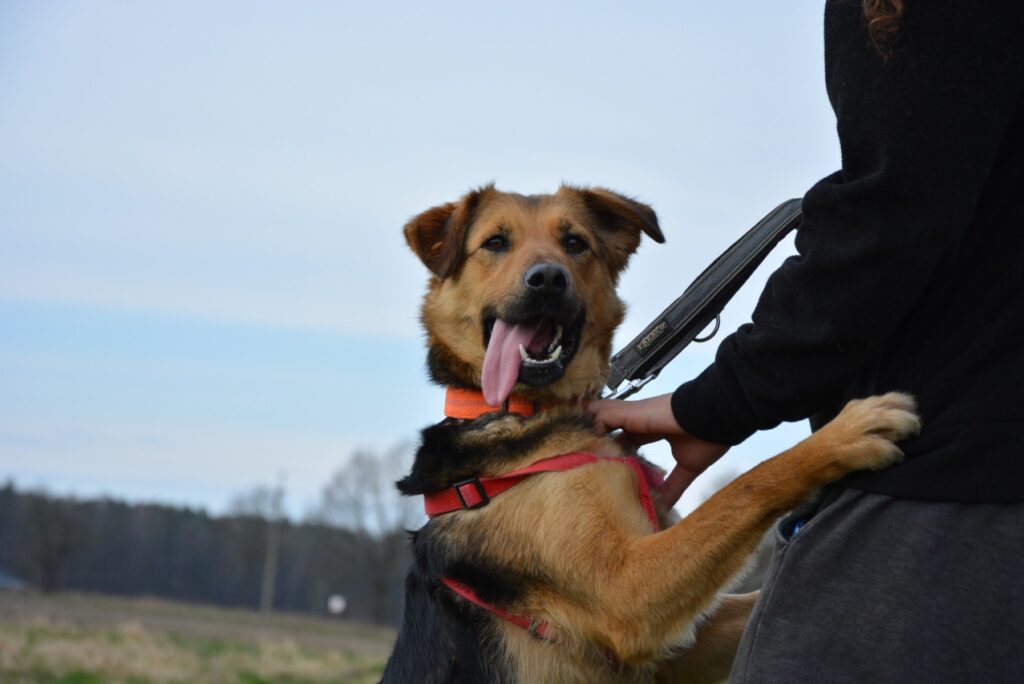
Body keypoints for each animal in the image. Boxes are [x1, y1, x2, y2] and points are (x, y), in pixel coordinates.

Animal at [382, 185, 921, 684]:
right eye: (495, 243)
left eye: (574, 243)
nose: (548, 279)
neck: (529, 411)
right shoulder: (625, 591)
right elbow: (748, 486)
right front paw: (844, 434)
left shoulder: (682, 644)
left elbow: (748, 588)